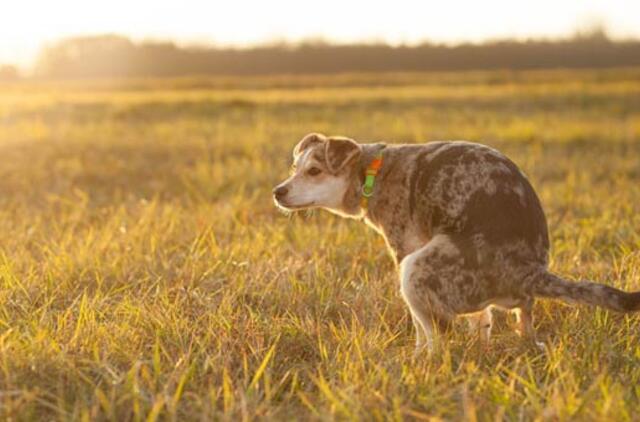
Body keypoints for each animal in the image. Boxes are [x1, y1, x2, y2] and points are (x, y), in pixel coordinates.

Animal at [272, 132, 640, 352]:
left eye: (315, 171)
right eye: (294, 167)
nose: (278, 191)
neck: (371, 173)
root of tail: (529, 271)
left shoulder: (404, 249)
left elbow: (420, 329)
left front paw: (416, 357)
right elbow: (482, 321)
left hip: (416, 269)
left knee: (440, 336)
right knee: (516, 325)